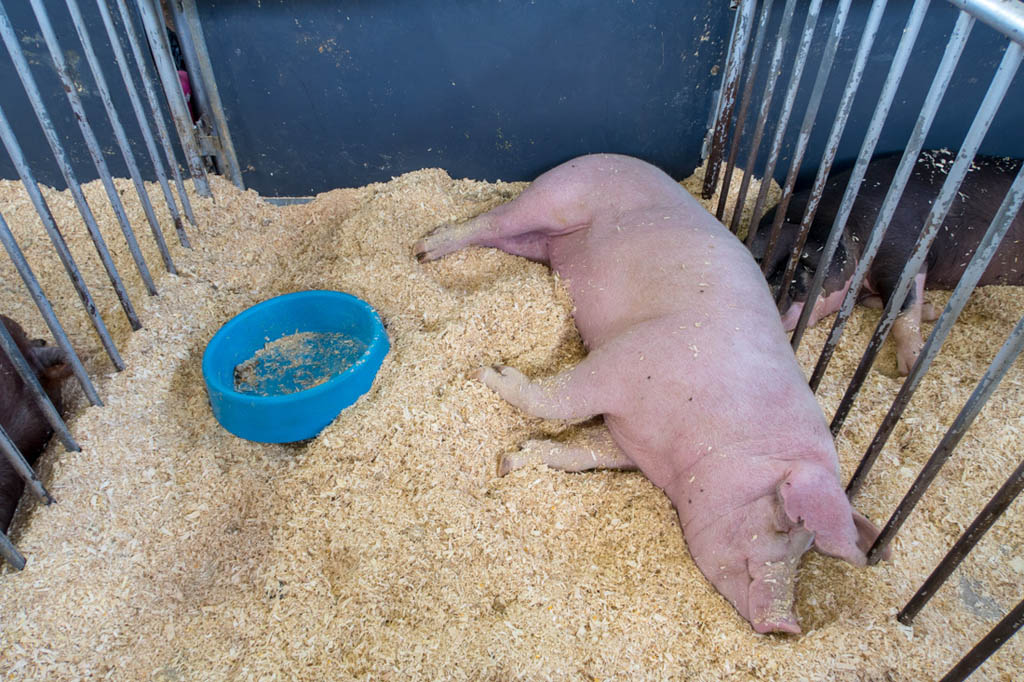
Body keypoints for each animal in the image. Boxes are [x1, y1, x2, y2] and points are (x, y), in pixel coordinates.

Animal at [415, 153, 888, 630]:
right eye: (784, 524)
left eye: (805, 548)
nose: (786, 626)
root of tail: (610, 156)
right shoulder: (630, 358)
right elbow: (557, 397)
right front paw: (490, 371)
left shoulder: (631, 440)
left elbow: (584, 450)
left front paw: (512, 460)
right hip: (556, 194)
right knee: (491, 220)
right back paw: (423, 249)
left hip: (539, 245)